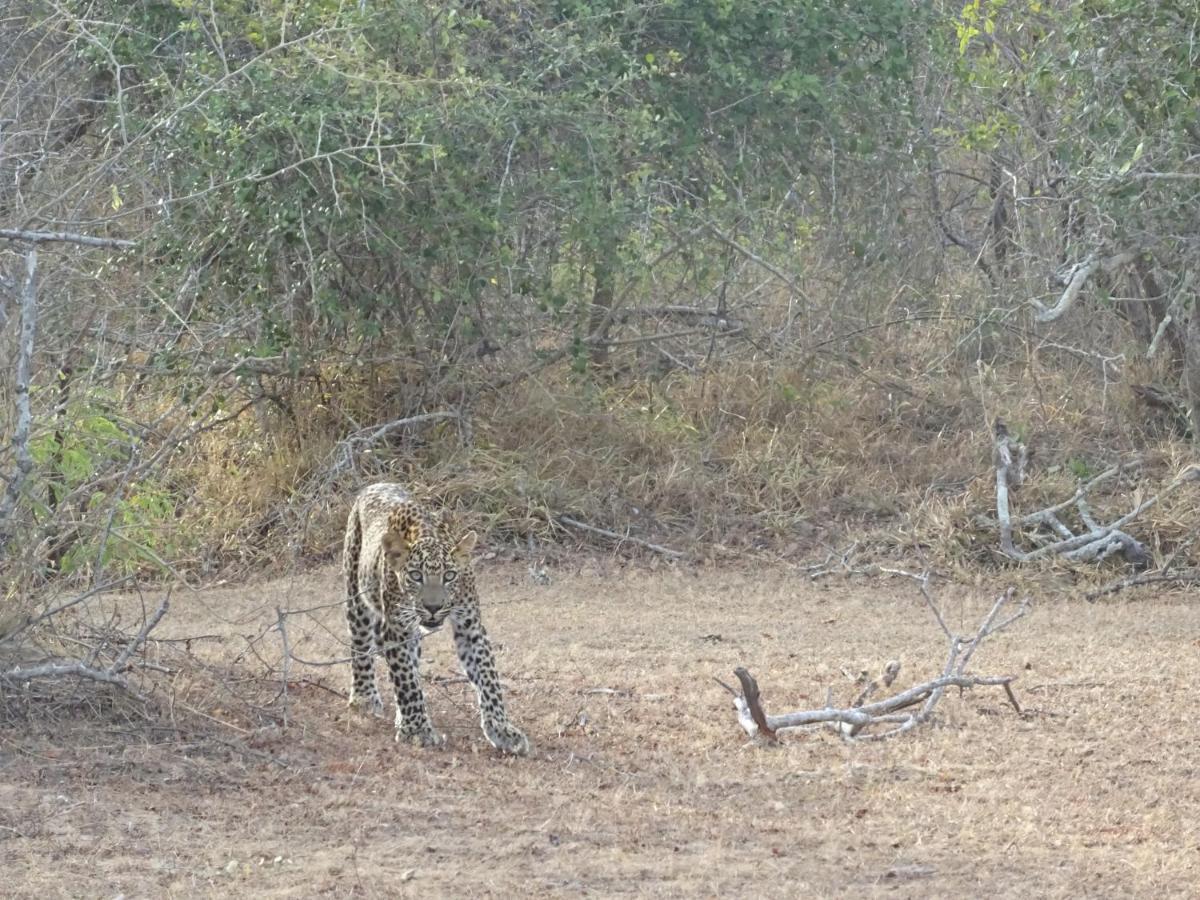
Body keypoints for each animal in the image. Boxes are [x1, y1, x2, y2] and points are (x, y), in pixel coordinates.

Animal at [343, 482, 530, 758]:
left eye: (450, 575)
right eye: (415, 576)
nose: (433, 607)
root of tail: (376, 484)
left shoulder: (471, 626)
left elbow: (488, 677)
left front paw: (502, 729)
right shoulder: (396, 627)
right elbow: (406, 681)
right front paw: (417, 731)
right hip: (356, 595)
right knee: (361, 645)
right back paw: (364, 697)